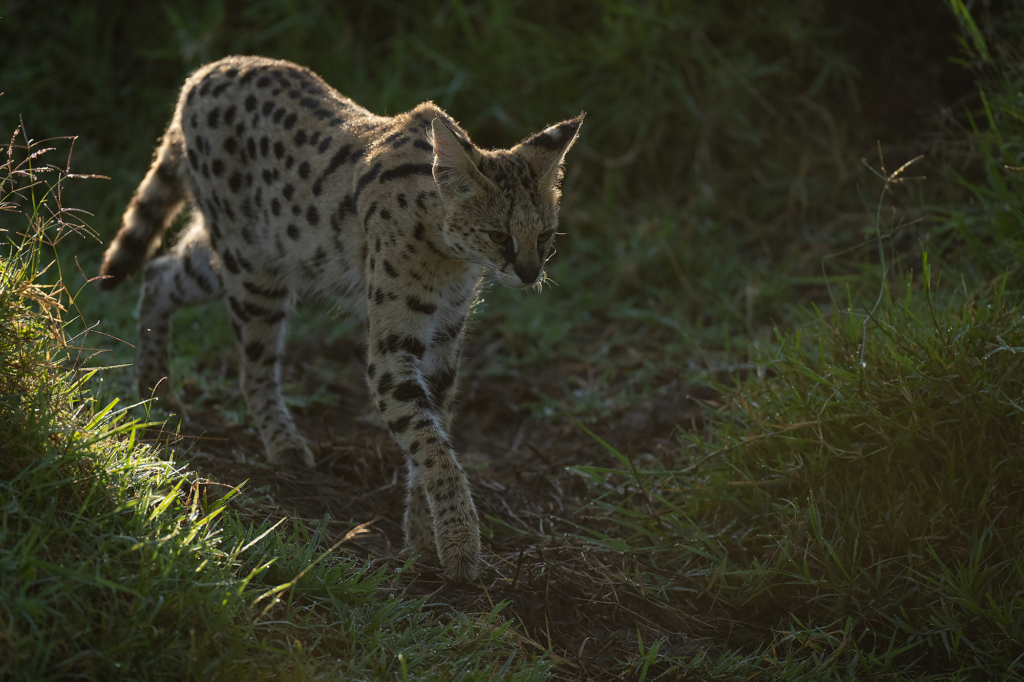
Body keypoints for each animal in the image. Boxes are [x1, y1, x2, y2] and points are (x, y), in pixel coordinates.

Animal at [100, 57, 585, 577]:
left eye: (546, 235)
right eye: (499, 236)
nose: (530, 273)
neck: (450, 252)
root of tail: (210, 68)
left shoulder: (444, 342)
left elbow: (431, 437)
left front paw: (423, 538)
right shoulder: (392, 351)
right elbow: (430, 445)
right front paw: (459, 546)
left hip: (244, 257)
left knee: (159, 272)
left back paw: (155, 388)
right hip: (252, 266)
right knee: (253, 368)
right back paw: (280, 442)